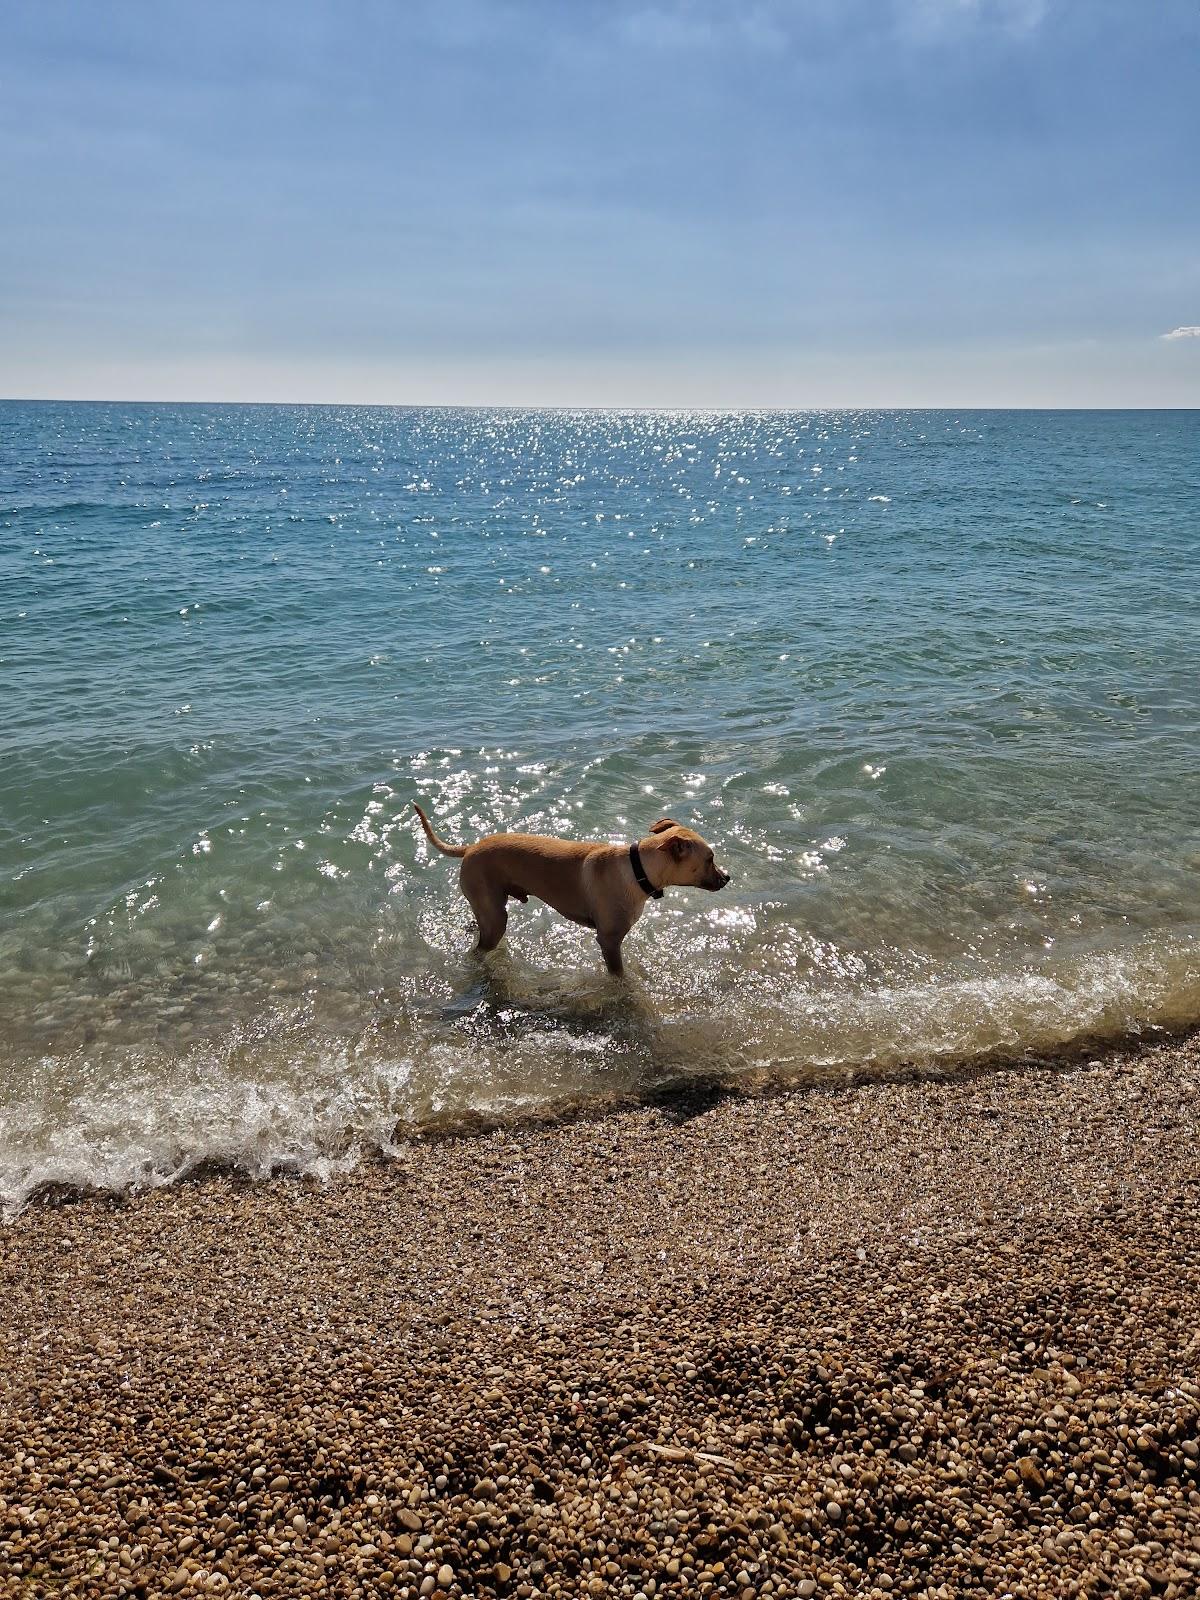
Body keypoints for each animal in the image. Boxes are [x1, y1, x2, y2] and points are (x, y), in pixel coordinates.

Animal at [412, 800, 732, 972]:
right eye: (710, 859)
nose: (727, 877)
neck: (637, 869)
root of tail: (469, 848)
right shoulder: (609, 941)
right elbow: (619, 975)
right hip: (495, 918)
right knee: (481, 946)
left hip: (488, 909)